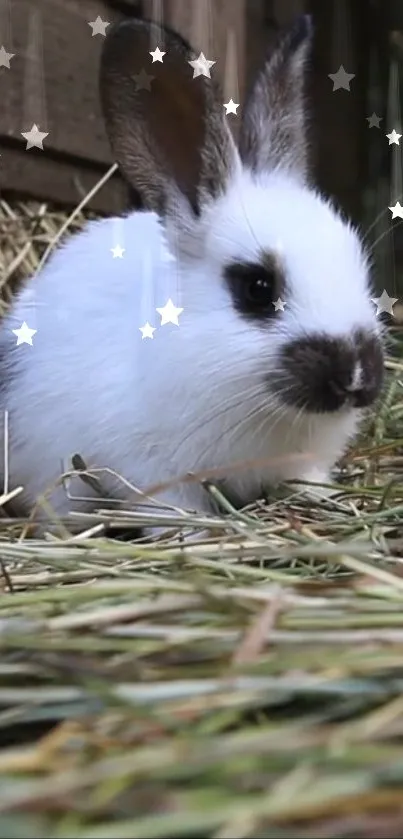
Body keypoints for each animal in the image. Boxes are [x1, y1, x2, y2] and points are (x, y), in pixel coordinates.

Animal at [0, 14, 386, 532]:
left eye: (358, 267)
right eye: (257, 287)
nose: (358, 375)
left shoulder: (301, 463)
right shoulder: (156, 474)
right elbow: (175, 510)